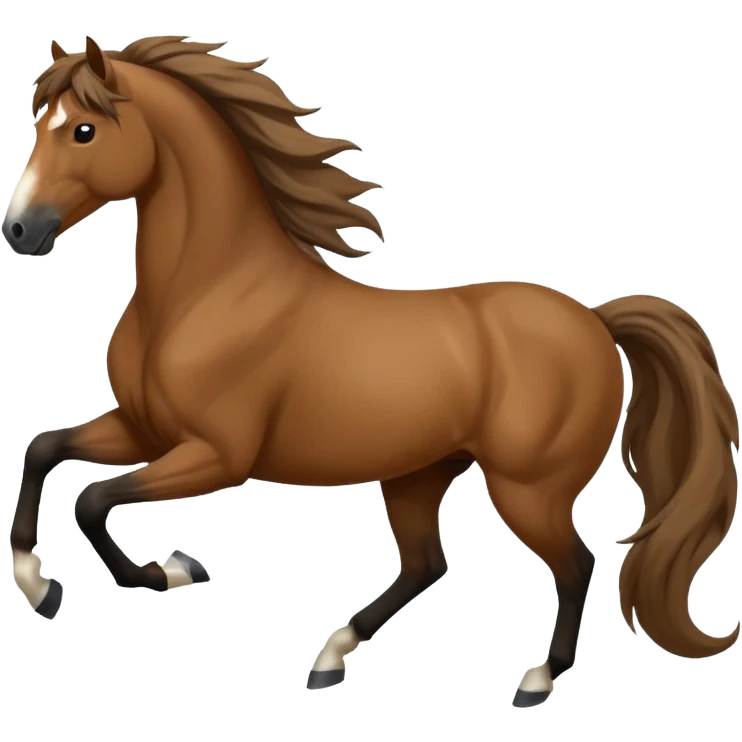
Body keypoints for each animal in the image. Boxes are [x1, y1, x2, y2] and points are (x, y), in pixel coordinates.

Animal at [4, 35, 739, 707]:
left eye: (84, 129)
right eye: (36, 127)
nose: (19, 231)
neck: (206, 292)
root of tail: (594, 320)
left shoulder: (215, 456)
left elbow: (92, 499)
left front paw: (170, 571)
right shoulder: (144, 429)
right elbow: (46, 451)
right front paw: (40, 586)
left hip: (528, 487)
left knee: (575, 562)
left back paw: (535, 678)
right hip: (418, 473)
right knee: (426, 563)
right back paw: (332, 657)